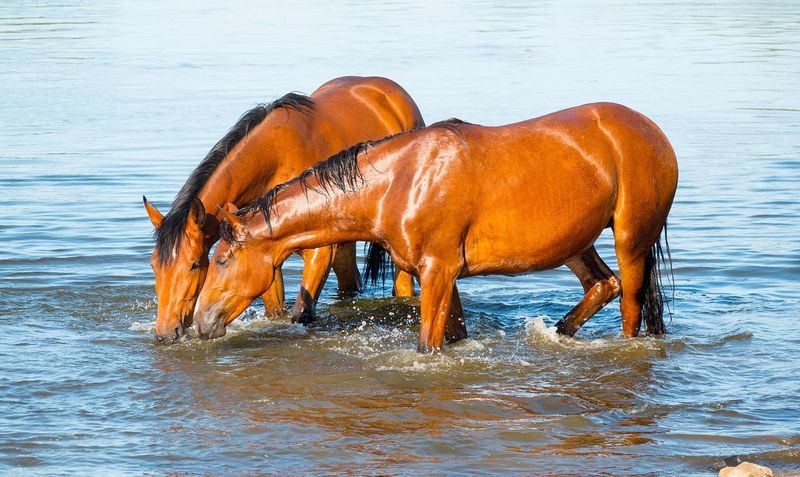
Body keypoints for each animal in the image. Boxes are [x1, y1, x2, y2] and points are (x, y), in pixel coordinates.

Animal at [141, 74, 422, 342]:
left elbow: (302, 314)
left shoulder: (319, 252)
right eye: (154, 266)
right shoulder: (262, 253)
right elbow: (275, 310)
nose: (166, 333)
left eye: (194, 265)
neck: (274, 160)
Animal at [192, 102, 676, 352]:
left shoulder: (438, 271)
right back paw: (557, 332)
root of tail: (651, 131)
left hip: (631, 242)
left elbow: (428, 345)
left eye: (220, 259)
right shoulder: (444, 276)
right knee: (603, 285)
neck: (401, 181)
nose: (199, 321)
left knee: (629, 308)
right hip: (577, 243)